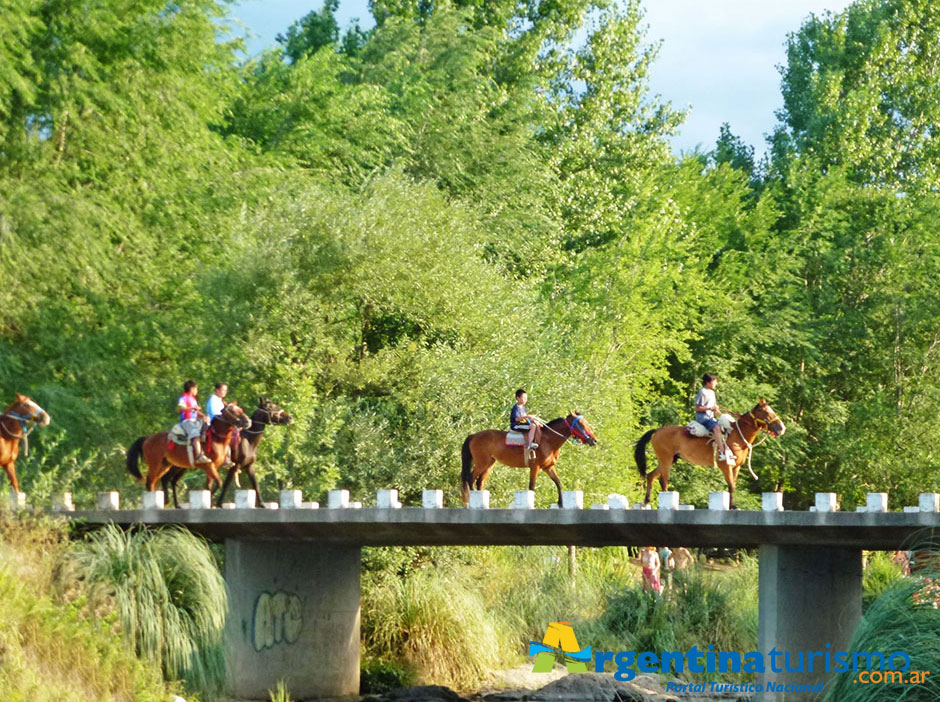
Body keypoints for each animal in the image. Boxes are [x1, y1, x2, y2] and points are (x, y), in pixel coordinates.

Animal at [162, 398, 294, 508]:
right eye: (271, 407)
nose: (289, 418)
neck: (248, 441)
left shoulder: (249, 466)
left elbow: (255, 484)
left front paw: (262, 504)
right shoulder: (234, 466)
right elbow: (226, 484)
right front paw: (218, 503)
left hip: (182, 467)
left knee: (172, 480)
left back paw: (176, 504)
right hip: (176, 466)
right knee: (167, 479)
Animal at [458, 412, 600, 506]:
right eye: (581, 424)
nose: (594, 440)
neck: (548, 440)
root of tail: (474, 435)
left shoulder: (548, 467)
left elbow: (558, 482)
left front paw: (560, 503)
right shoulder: (535, 467)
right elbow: (532, 486)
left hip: (489, 464)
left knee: (479, 481)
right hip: (481, 463)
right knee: (470, 478)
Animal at [632, 398, 784, 508]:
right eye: (766, 412)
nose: (781, 428)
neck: (736, 436)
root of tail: (657, 431)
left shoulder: (736, 467)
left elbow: (733, 485)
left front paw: (733, 505)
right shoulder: (726, 466)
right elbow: (731, 485)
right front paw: (733, 506)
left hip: (669, 460)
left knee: (651, 476)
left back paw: (646, 502)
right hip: (666, 459)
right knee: (663, 480)